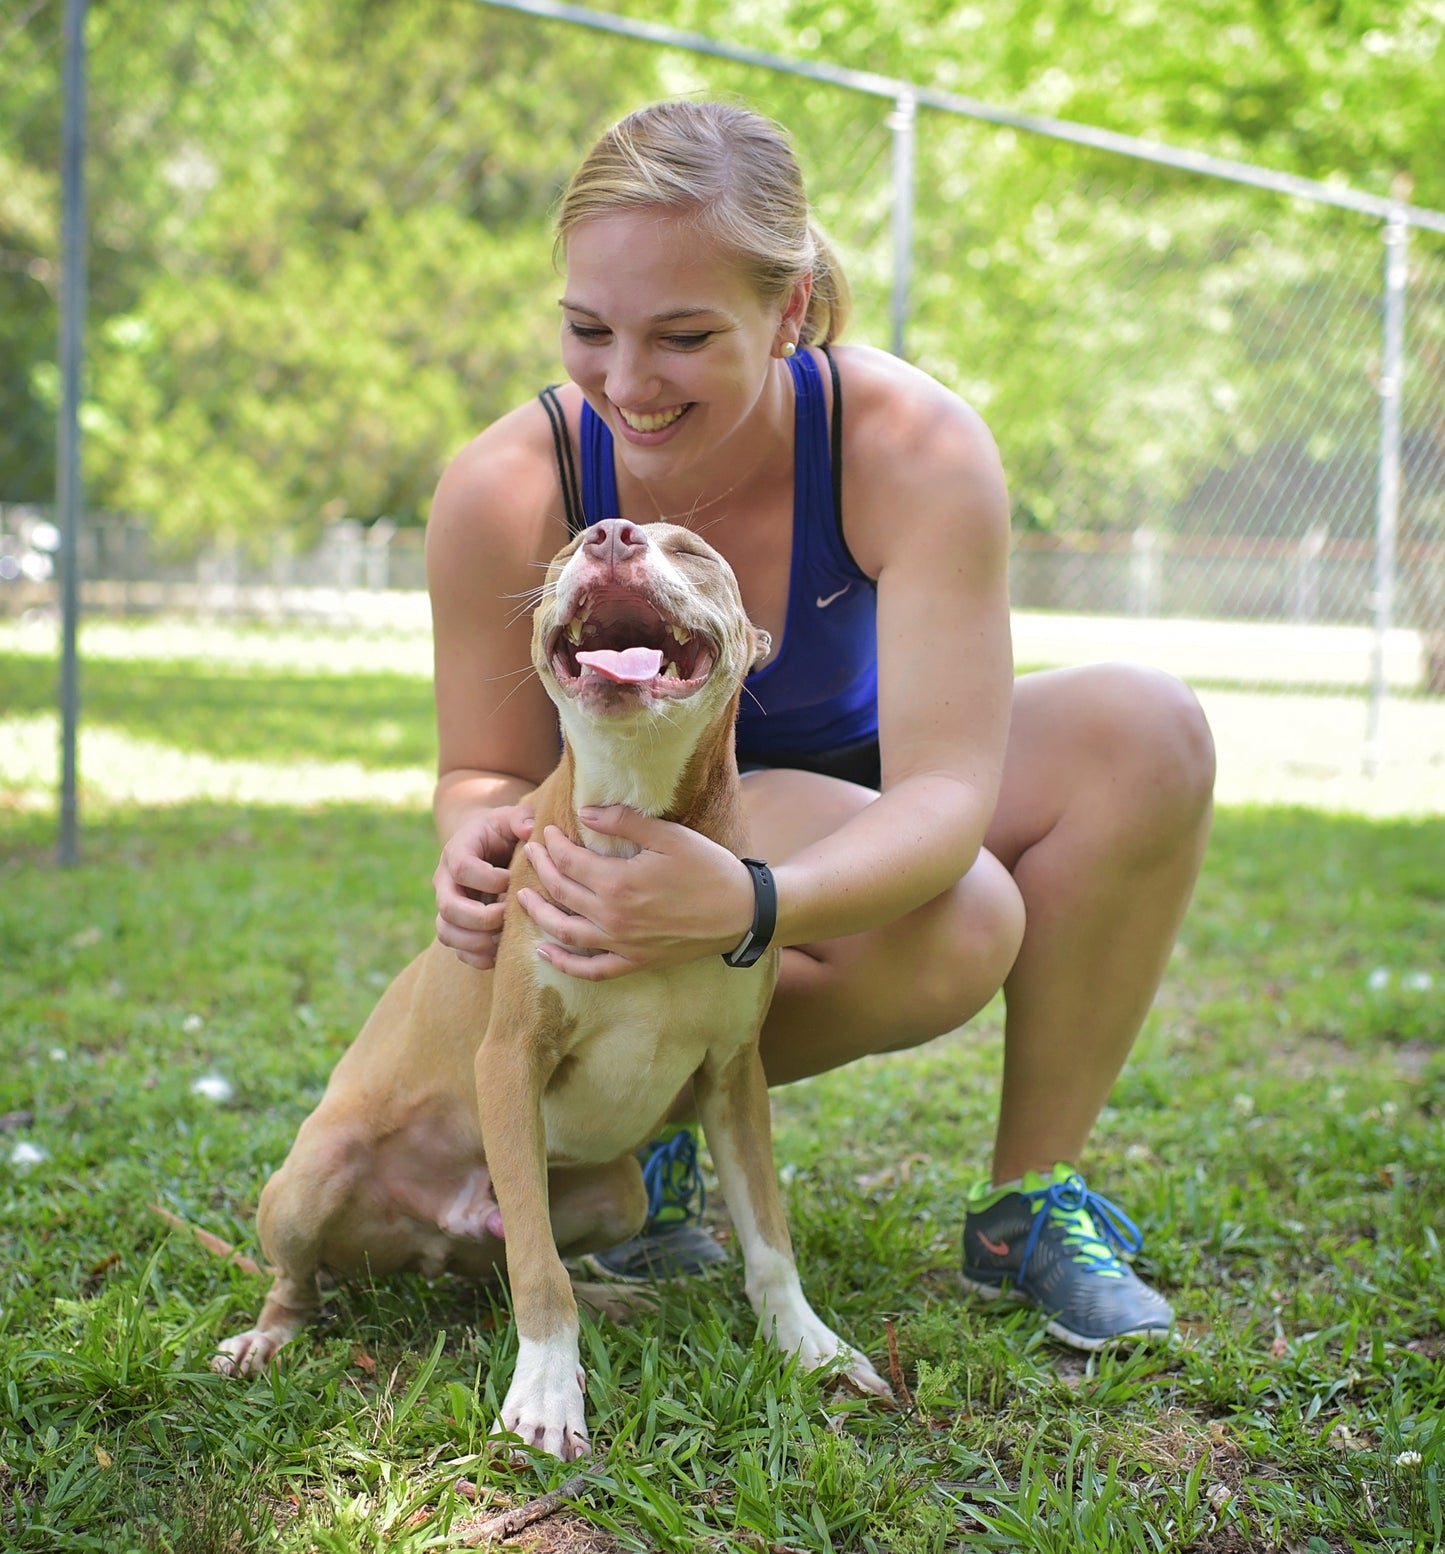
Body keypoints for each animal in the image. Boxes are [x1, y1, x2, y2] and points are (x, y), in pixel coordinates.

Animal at [217, 519, 888, 1454]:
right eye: (570, 548)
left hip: (618, 1191)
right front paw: (543, 1393)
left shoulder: (734, 1075)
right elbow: (538, 1272)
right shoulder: (510, 1058)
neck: (636, 821)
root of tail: (439, 1237)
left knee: (505, 1261)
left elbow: (769, 1239)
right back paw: (267, 1338)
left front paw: (808, 1345)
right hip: (312, 1177)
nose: (612, 535)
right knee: (313, 1281)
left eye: (692, 551)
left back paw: (607, 1294)